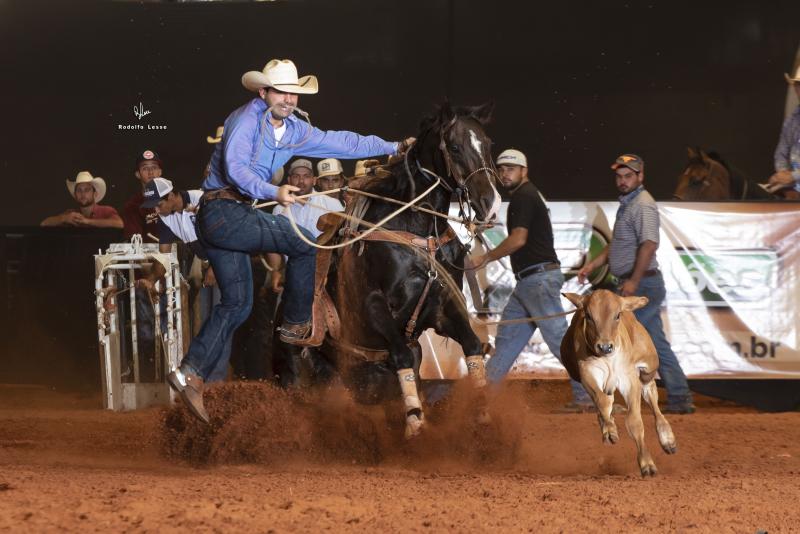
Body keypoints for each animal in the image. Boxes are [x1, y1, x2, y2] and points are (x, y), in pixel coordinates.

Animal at [314, 101, 500, 440]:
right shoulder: (374, 306)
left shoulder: (443, 307)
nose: (491, 205)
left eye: (488, 144)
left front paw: (482, 417)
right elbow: (400, 354)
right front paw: (415, 422)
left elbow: (471, 344)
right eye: (455, 147)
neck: (419, 233)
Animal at [560, 292, 680, 480]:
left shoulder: (629, 379)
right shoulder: (588, 373)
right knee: (604, 402)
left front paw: (647, 464)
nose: (605, 347)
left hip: (649, 366)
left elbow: (634, 421)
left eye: (617, 315)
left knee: (650, 392)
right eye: (589, 316)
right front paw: (610, 431)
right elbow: (603, 402)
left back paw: (667, 439)